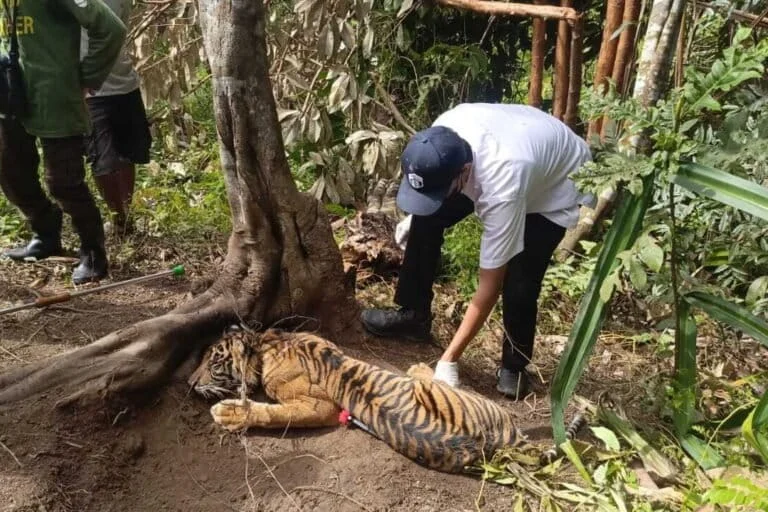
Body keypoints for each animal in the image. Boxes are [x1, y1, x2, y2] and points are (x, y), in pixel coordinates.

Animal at [188, 326, 525, 473]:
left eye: (213, 361)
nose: (189, 382)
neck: (265, 345)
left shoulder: (319, 405)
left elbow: (274, 414)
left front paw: (230, 413)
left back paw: (418, 367)